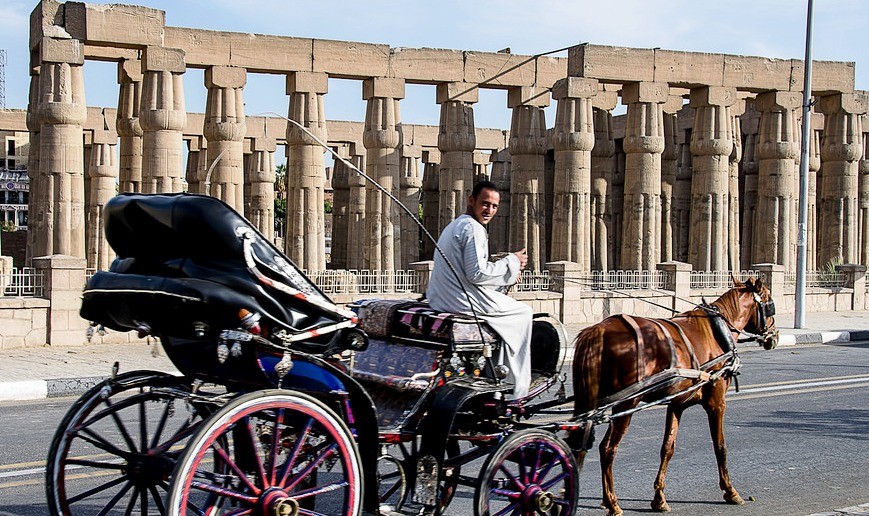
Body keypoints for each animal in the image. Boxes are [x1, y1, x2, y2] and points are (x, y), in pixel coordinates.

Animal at [568, 278, 780, 516]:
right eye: (769, 302)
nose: (774, 336)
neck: (717, 332)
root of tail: (600, 330)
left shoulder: (677, 404)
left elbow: (668, 447)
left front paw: (659, 497)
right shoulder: (716, 402)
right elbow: (720, 446)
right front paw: (730, 491)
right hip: (626, 403)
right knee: (608, 449)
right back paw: (613, 503)